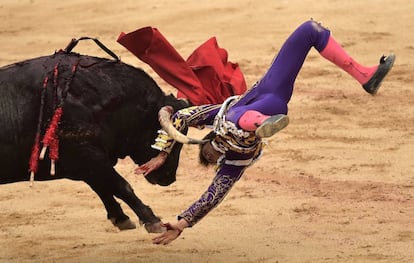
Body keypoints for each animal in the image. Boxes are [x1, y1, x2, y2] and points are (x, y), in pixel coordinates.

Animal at [0, 50, 189, 234]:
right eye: (167, 140)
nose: (169, 178)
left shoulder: (87, 163)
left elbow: (102, 187)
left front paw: (121, 218)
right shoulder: (87, 155)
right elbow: (120, 185)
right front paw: (153, 221)